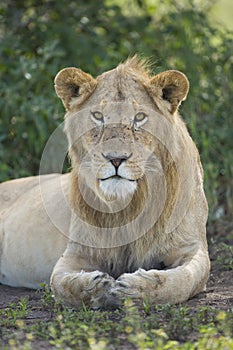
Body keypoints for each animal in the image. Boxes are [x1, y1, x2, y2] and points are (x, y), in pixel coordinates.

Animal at [0, 56, 210, 308]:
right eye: (98, 116)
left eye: (139, 117)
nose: (116, 158)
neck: (131, 205)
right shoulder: (76, 252)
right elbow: (59, 284)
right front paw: (95, 288)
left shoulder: (192, 246)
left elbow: (184, 281)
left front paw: (137, 289)